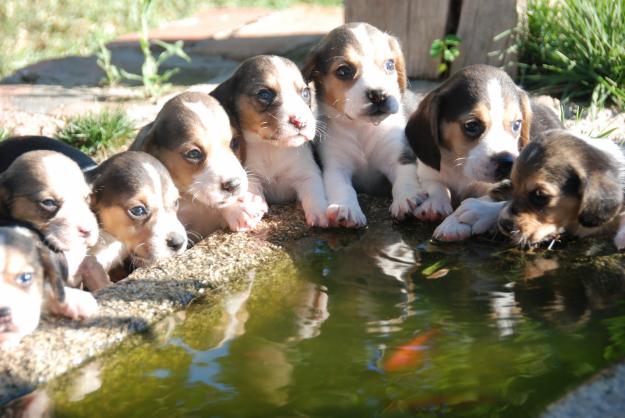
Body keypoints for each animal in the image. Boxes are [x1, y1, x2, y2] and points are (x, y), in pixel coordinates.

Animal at [211, 56, 330, 229]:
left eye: (305, 92)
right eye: (265, 94)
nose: (300, 122)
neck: (272, 148)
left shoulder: (306, 172)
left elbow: (314, 191)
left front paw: (321, 213)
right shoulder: (251, 174)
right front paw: (247, 209)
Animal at [302, 22, 420, 229]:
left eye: (390, 65)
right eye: (343, 71)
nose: (379, 95)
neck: (362, 128)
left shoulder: (400, 157)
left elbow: (404, 180)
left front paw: (406, 199)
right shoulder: (335, 167)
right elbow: (343, 189)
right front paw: (346, 209)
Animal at [404, 63, 560, 240]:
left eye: (517, 124)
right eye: (472, 125)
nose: (508, 163)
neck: (462, 170)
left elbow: (494, 199)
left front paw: (460, 219)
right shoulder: (428, 172)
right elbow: (436, 185)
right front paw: (433, 204)